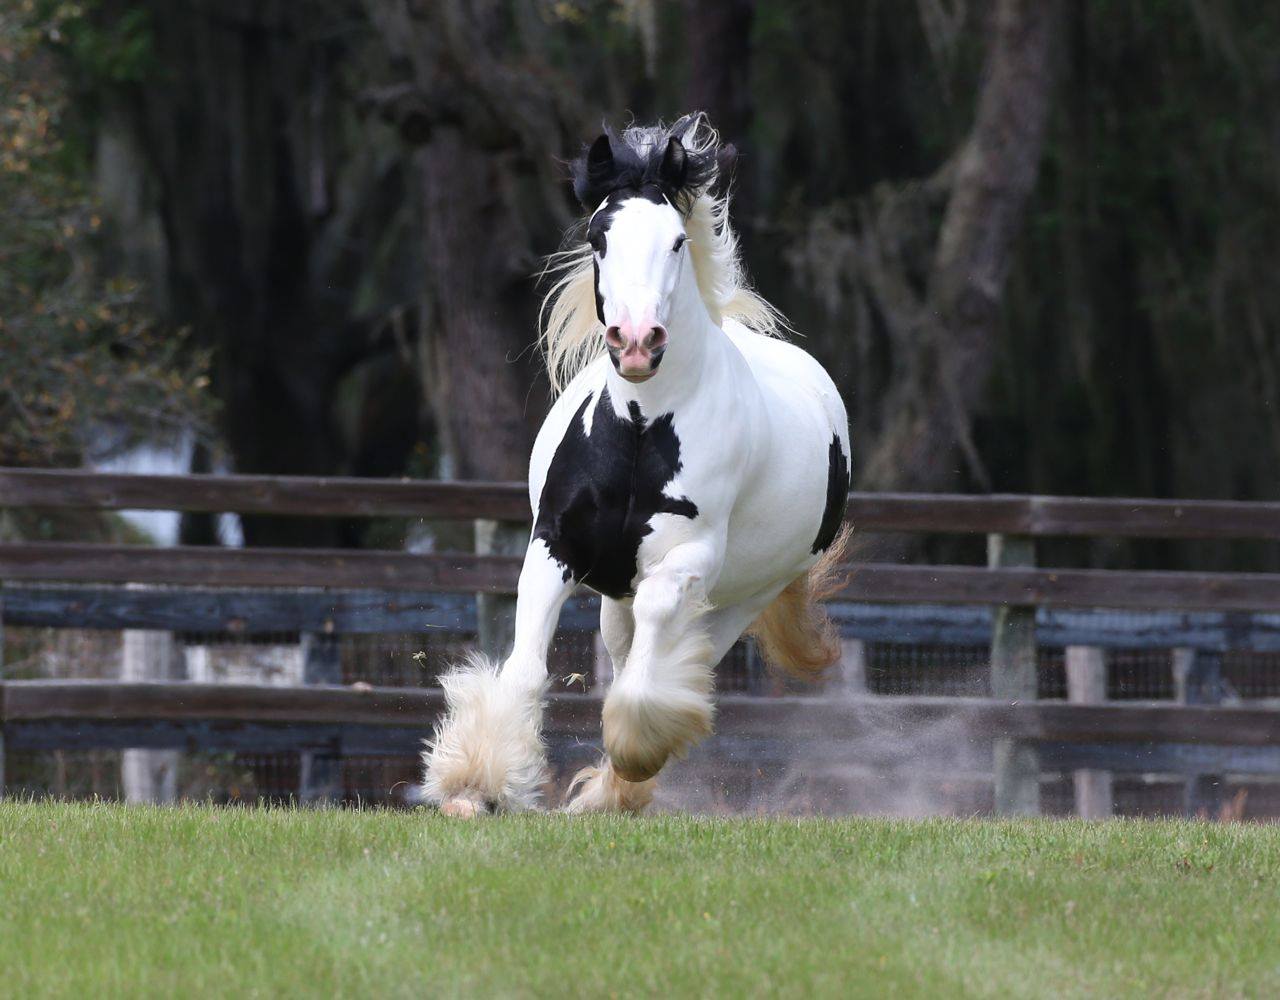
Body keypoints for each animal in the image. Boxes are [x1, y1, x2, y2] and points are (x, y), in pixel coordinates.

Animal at [419, 113, 849, 814]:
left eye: (676, 241)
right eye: (598, 237)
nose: (638, 341)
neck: (644, 432)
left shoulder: (690, 557)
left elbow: (649, 670)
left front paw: (630, 758)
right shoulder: (554, 543)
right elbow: (527, 665)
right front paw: (477, 784)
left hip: (740, 598)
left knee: (666, 656)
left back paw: (615, 788)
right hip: (614, 595)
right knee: (623, 652)